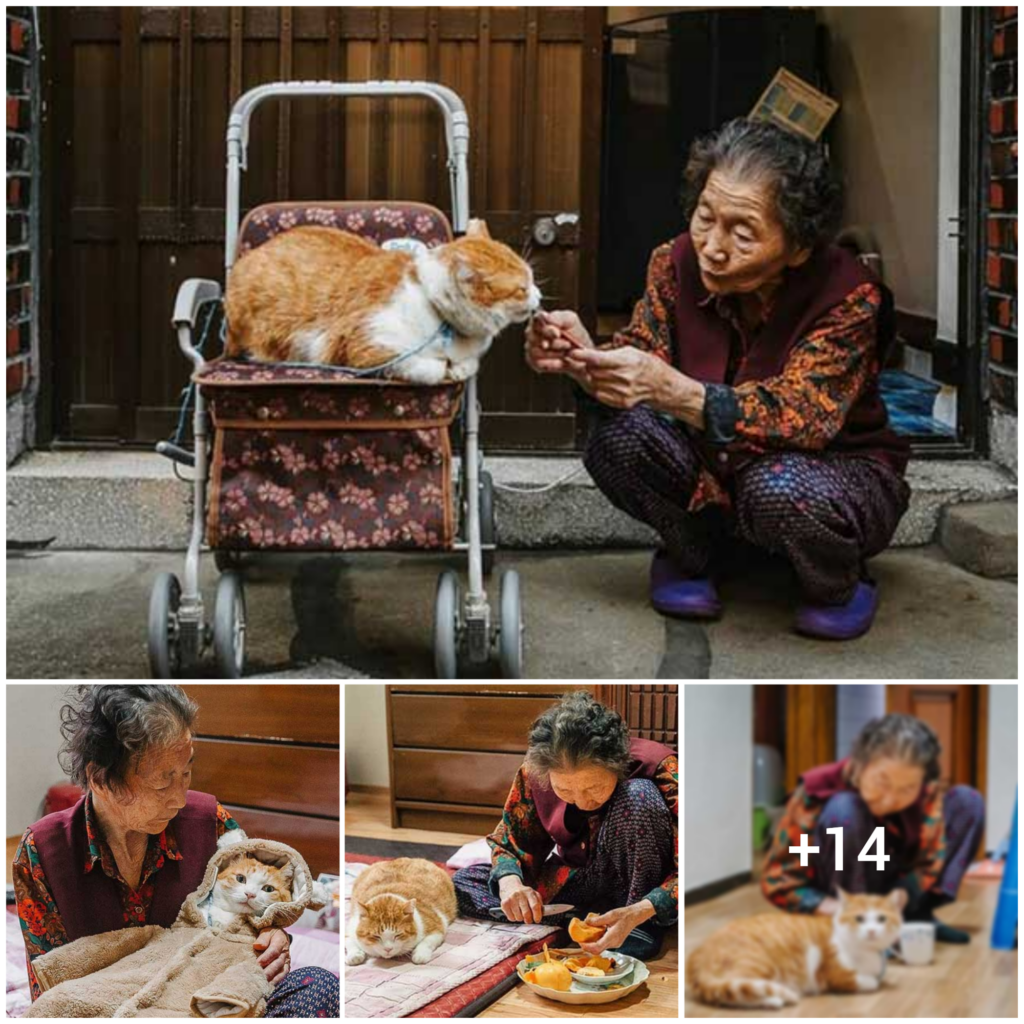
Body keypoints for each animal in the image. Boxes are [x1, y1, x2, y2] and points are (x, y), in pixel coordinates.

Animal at [24, 839, 325, 1015]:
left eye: (268, 889)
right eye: (240, 878)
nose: (250, 895)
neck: (218, 926)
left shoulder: (252, 957)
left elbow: (240, 979)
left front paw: (211, 1006)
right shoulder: (160, 929)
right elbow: (122, 939)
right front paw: (44, 967)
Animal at [224, 218, 544, 385]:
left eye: (532, 278)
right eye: (521, 289)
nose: (539, 297)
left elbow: (468, 365)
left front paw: (459, 366)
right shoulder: (370, 344)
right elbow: (430, 368)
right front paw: (444, 366)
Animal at [688, 888, 905, 1007]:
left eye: (882, 919)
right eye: (859, 919)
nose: (871, 931)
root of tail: (697, 956)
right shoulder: (835, 975)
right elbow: (871, 982)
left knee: (728, 994)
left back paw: (775, 999)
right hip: (758, 963)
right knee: (739, 988)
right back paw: (779, 997)